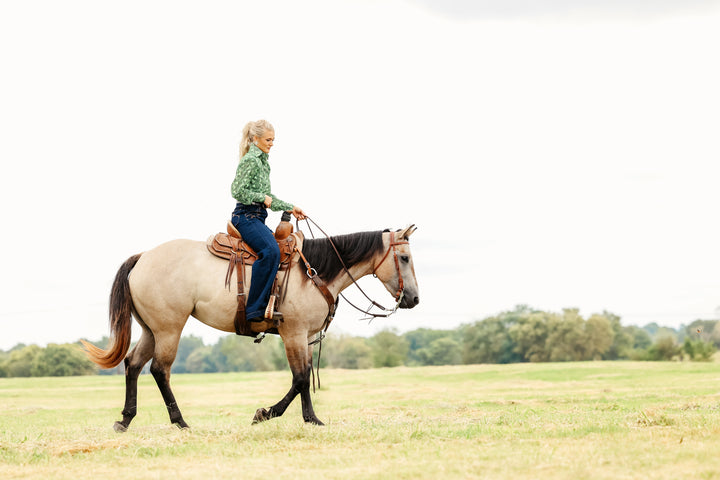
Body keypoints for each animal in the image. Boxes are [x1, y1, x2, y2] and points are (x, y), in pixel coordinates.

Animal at [81, 225, 420, 432]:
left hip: (151, 330)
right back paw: (180, 422)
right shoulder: (293, 334)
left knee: (133, 364)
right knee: (159, 370)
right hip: (169, 329)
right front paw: (270, 414)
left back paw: (125, 420)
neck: (313, 272)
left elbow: (304, 377)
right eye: (404, 257)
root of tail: (143, 258)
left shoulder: (306, 337)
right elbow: (299, 379)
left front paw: (306, 418)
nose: (414, 299)